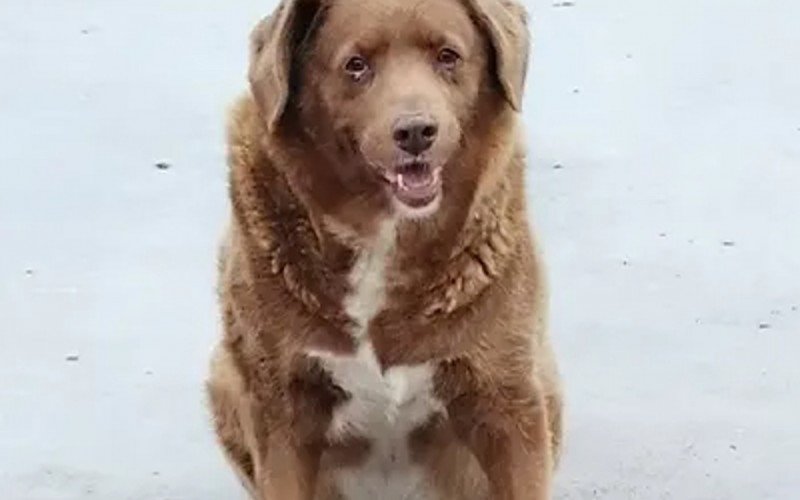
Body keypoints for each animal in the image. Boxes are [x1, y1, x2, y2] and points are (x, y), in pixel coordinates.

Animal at [209, 0, 564, 496]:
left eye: (448, 56)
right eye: (356, 65)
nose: (416, 131)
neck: (383, 238)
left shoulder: (507, 396)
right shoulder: (282, 407)